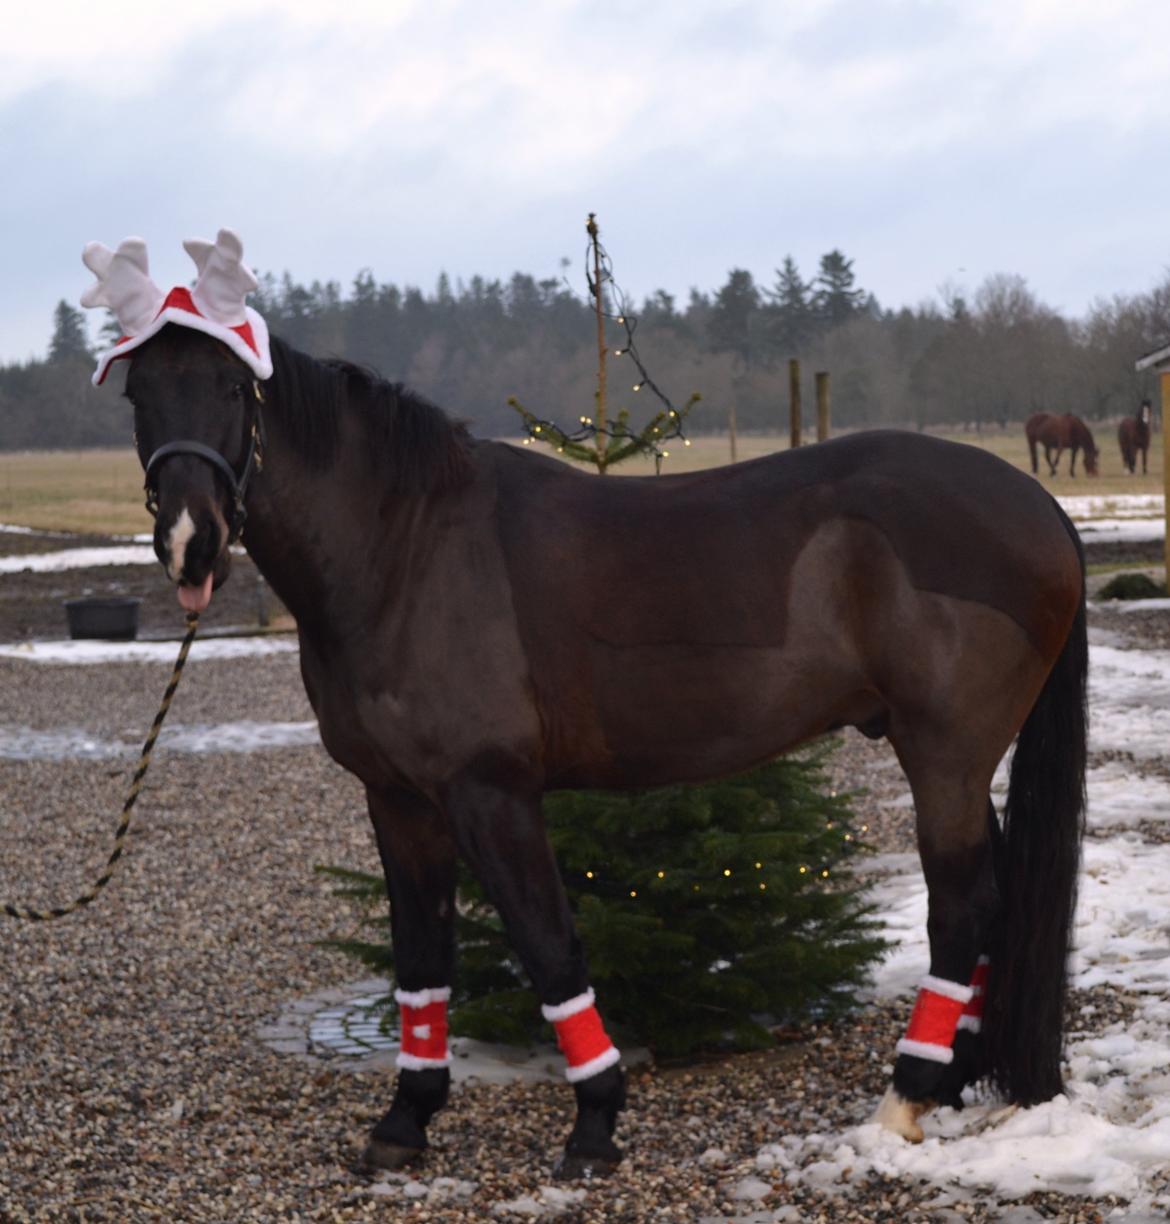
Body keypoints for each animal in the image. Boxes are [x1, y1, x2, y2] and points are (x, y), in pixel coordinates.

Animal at [98, 270, 1086, 1175]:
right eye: (139, 396)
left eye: (233, 389)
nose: (190, 542)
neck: (405, 551)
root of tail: (1039, 506)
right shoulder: (398, 799)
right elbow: (421, 958)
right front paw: (406, 1121)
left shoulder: (491, 792)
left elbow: (549, 947)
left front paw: (596, 1123)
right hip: (953, 761)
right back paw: (952, 1078)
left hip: (944, 755)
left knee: (963, 905)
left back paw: (906, 1095)